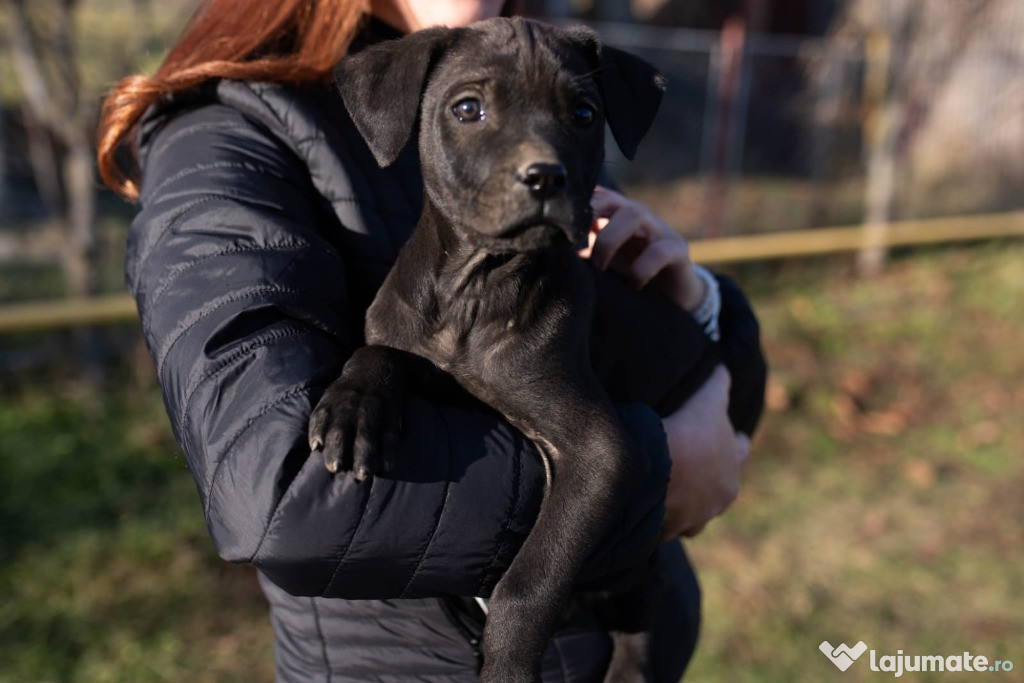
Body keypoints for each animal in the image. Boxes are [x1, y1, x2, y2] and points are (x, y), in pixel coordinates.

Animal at [307, 17, 716, 683]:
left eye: (584, 113)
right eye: (467, 109)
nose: (546, 177)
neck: (475, 291)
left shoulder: (602, 453)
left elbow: (529, 584)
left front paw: (508, 665)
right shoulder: (403, 334)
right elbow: (380, 352)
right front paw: (354, 409)